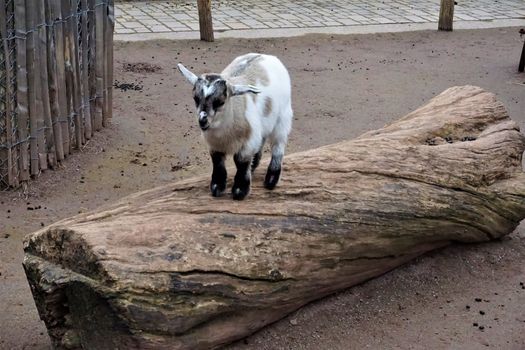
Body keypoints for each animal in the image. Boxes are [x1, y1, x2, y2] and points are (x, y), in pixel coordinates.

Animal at [178, 52, 292, 200]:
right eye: (196, 99)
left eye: (220, 102)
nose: (203, 120)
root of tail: (266, 55)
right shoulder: (215, 145)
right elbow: (217, 162)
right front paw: (217, 187)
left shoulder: (247, 143)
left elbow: (240, 161)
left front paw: (240, 190)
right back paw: (254, 166)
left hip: (283, 117)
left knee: (278, 146)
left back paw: (271, 180)